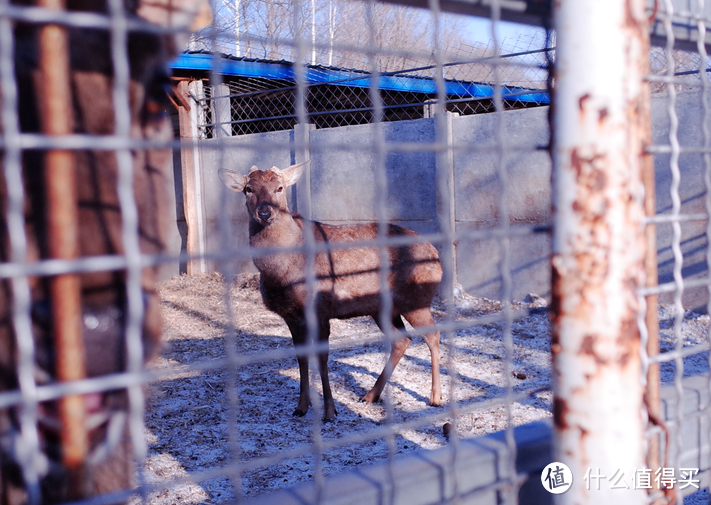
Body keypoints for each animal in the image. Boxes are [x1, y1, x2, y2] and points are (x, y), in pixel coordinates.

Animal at [221, 163, 444, 420]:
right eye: (248, 189)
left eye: (279, 188)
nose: (265, 213)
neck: (281, 272)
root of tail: (437, 254)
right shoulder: (291, 315)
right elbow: (301, 358)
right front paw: (301, 407)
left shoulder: (320, 310)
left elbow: (322, 357)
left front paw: (329, 411)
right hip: (382, 308)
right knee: (402, 338)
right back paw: (370, 395)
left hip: (416, 300)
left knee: (433, 334)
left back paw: (435, 397)